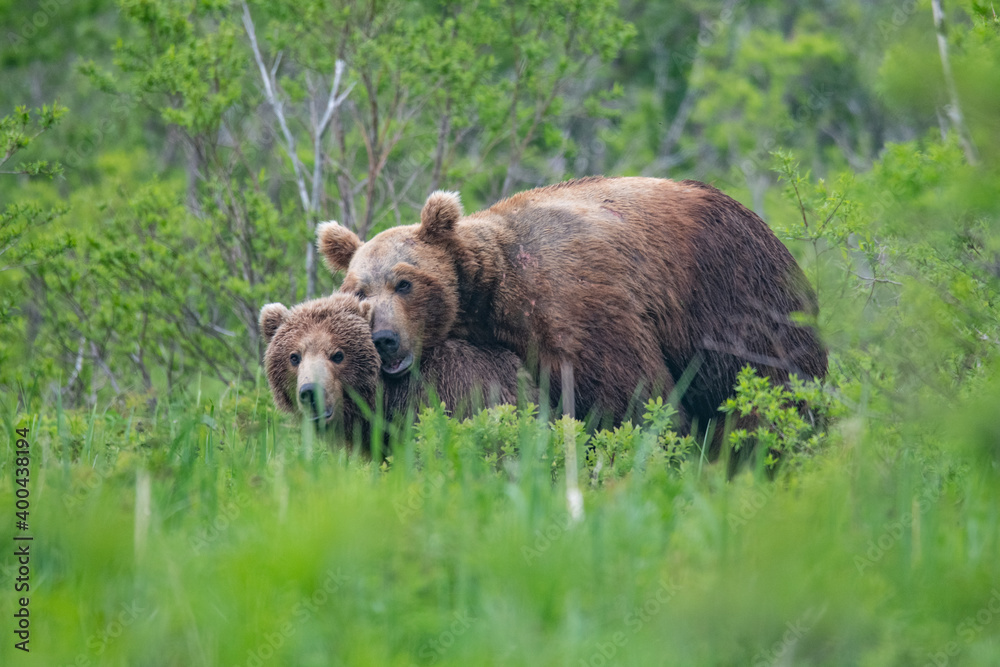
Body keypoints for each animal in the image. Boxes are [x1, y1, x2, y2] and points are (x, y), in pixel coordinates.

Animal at [317, 176, 827, 446]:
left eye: (404, 282)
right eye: (360, 292)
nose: (384, 340)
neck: (492, 294)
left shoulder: (573, 303)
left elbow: (629, 394)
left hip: (731, 291)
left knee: (767, 380)